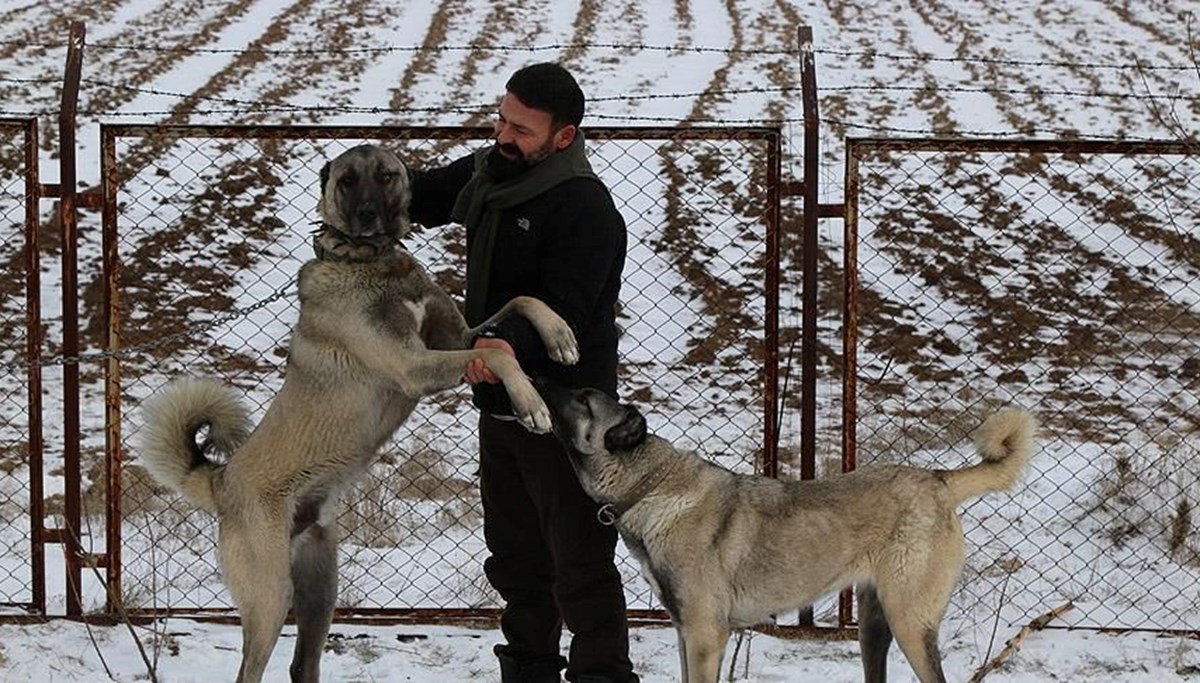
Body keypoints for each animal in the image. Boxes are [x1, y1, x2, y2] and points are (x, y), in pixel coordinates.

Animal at [136, 145, 580, 681]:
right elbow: (501, 356)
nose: (368, 216)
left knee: (301, 664)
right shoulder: (413, 365)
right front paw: (532, 405)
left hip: (321, 589)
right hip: (271, 597)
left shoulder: (459, 337)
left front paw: (559, 336)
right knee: (252, 670)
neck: (369, 260)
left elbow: (519, 304)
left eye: (386, 175)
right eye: (347, 180)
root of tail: (220, 481)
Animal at [535, 379, 1032, 681]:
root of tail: (938, 478)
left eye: (582, 399)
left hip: (908, 621)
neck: (649, 484)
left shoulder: (703, 636)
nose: (537, 376)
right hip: (875, 626)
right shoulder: (685, 631)